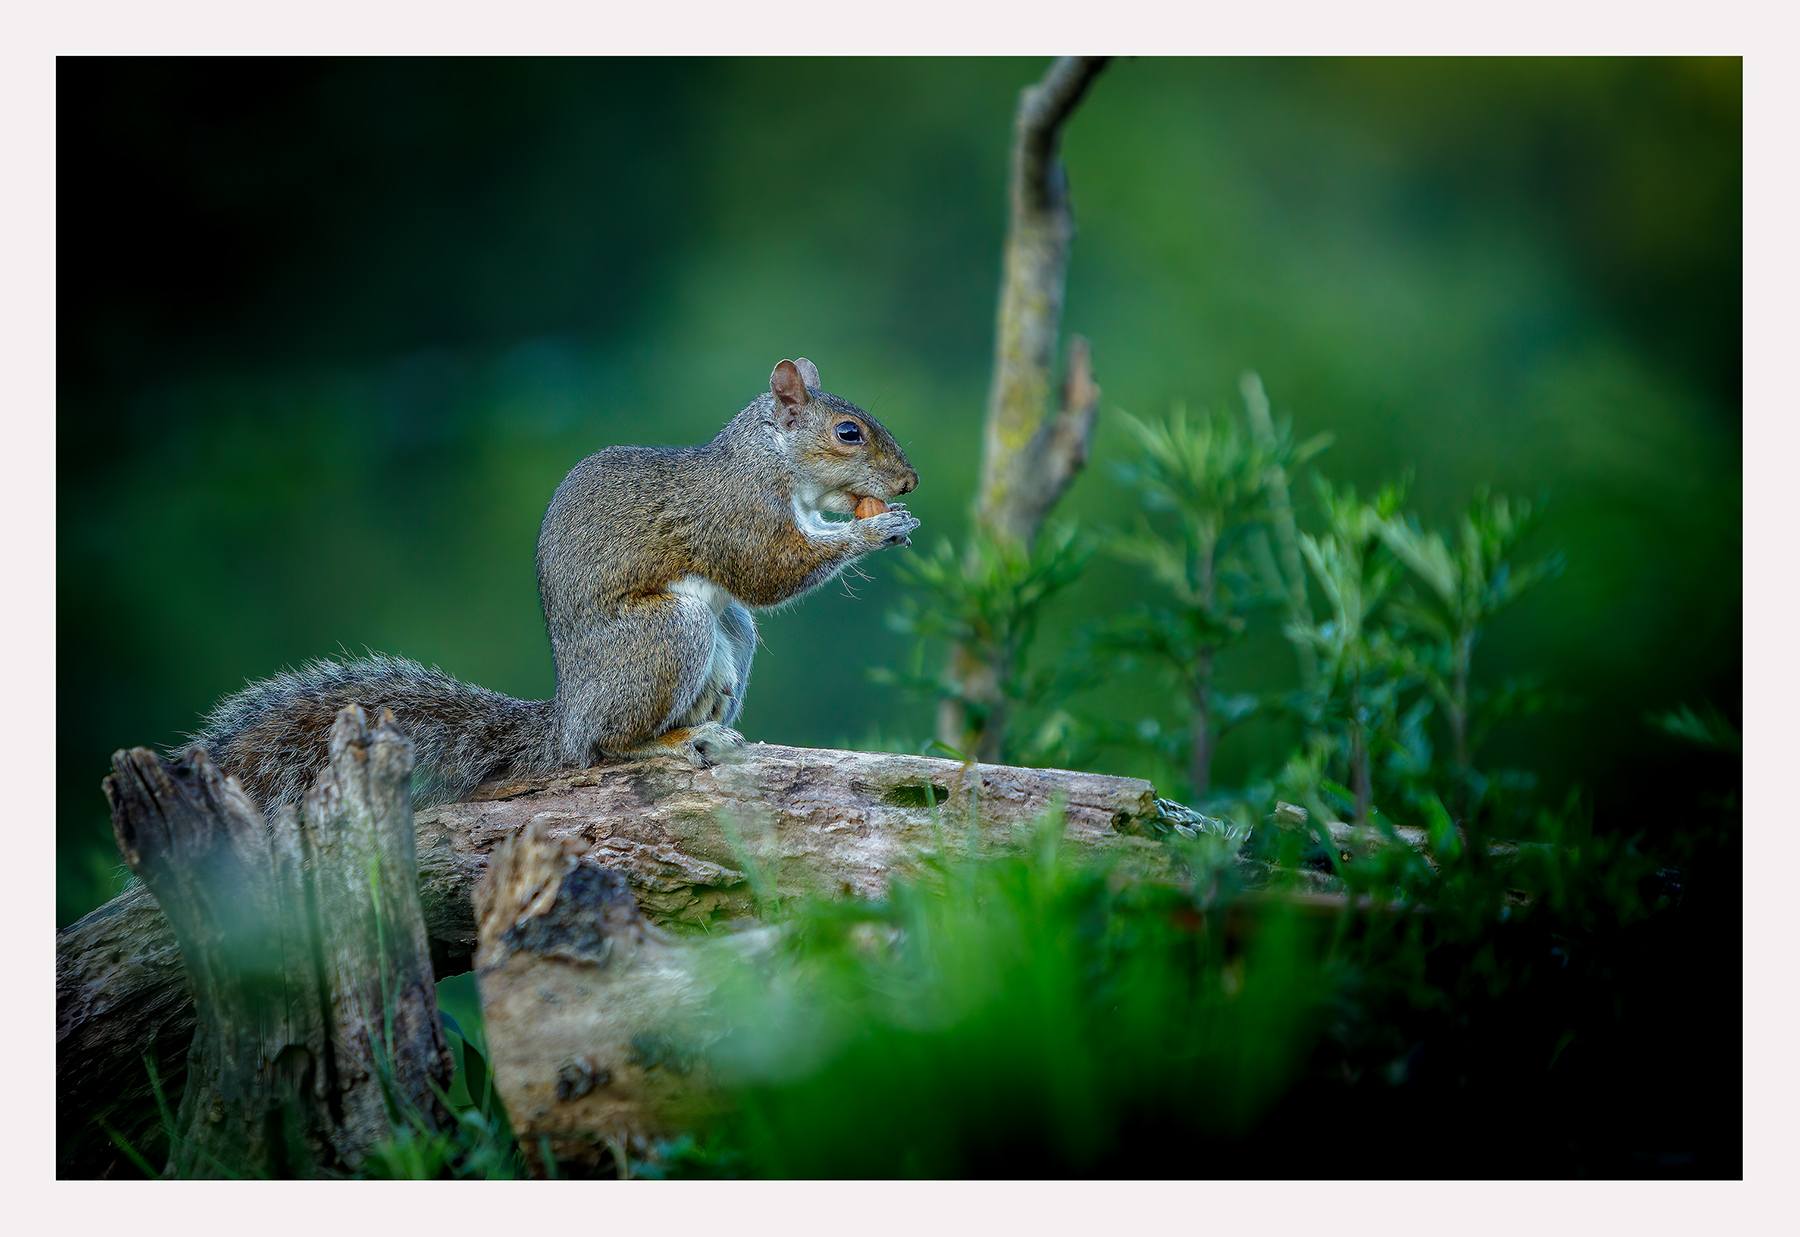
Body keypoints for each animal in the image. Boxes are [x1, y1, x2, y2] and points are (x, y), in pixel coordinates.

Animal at [191, 357, 920, 815]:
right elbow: (769, 571)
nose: (909, 482)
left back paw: (711, 731)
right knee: (610, 745)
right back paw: (672, 742)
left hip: (728, 636)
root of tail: (568, 717)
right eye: (848, 433)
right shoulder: (734, 516)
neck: (766, 458)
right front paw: (875, 529)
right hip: (666, 633)